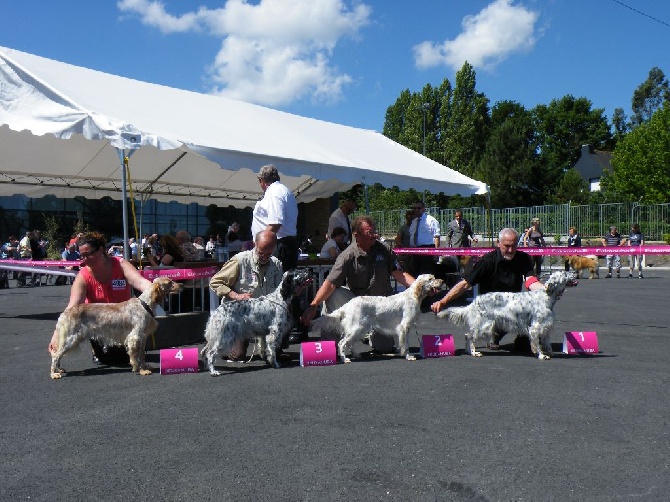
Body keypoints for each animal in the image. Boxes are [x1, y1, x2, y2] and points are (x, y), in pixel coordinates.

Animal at [49, 276, 184, 378]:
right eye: (169, 283)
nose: (182, 284)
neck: (145, 304)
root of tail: (65, 313)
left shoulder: (143, 337)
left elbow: (142, 355)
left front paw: (145, 367)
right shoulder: (134, 337)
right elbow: (135, 357)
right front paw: (140, 370)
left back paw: (59, 370)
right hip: (71, 339)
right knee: (55, 356)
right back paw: (54, 373)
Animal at [310, 276, 446, 362]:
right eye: (430, 279)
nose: (442, 281)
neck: (413, 295)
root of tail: (348, 305)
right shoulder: (404, 326)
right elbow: (405, 344)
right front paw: (408, 356)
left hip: (360, 329)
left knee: (350, 343)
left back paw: (356, 355)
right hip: (357, 328)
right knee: (342, 343)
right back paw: (345, 359)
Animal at [438, 272, 580, 358]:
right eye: (565, 273)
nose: (575, 272)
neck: (546, 296)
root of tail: (475, 301)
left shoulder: (547, 326)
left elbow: (547, 343)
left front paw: (550, 353)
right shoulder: (535, 328)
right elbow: (536, 344)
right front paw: (541, 355)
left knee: (468, 335)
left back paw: (469, 351)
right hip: (484, 325)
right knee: (470, 336)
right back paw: (473, 352)